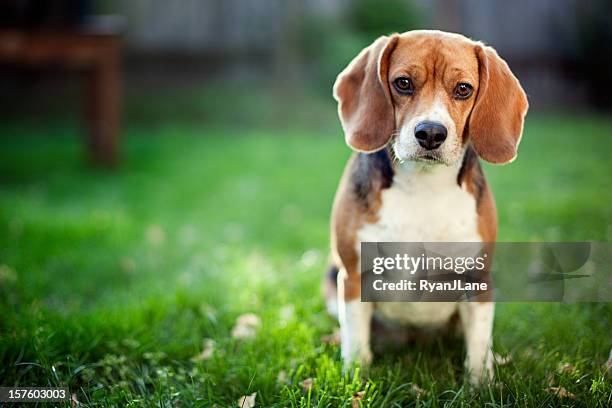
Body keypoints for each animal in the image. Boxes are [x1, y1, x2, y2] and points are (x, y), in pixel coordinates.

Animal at [326, 30, 532, 384]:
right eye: (403, 83)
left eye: (463, 89)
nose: (431, 133)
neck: (424, 186)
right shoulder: (353, 275)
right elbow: (357, 343)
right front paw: (357, 380)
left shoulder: (478, 279)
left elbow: (479, 346)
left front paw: (481, 386)